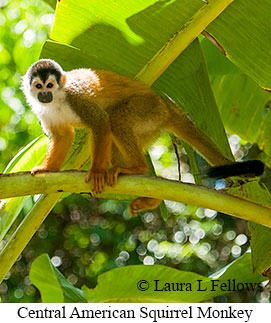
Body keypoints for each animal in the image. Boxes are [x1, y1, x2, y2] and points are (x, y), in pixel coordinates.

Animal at [22, 60, 264, 218]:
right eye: (38, 86)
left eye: (50, 85)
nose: (44, 95)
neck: (58, 99)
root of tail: (165, 103)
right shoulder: (44, 111)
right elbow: (63, 135)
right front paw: (48, 169)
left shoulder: (75, 97)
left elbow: (100, 123)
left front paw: (98, 171)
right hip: (151, 125)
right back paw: (150, 194)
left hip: (147, 108)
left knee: (115, 118)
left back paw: (137, 168)